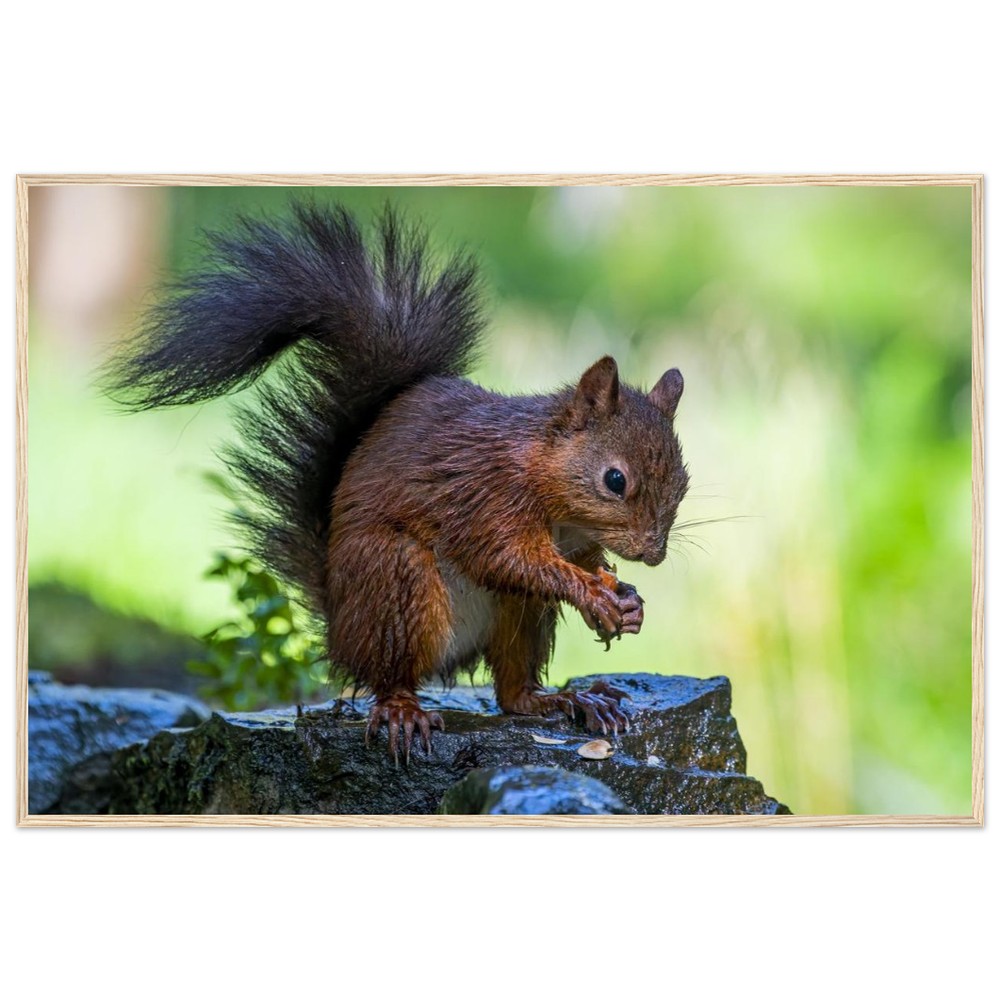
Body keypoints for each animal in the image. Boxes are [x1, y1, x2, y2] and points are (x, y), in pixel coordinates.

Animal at [106, 203, 689, 761]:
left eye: (683, 483)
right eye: (615, 480)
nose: (654, 554)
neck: (551, 488)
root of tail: (339, 627)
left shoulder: (573, 537)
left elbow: (580, 561)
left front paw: (625, 599)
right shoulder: (485, 497)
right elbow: (508, 558)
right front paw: (593, 593)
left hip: (518, 615)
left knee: (512, 691)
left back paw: (565, 699)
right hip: (395, 581)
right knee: (390, 675)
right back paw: (404, 710)